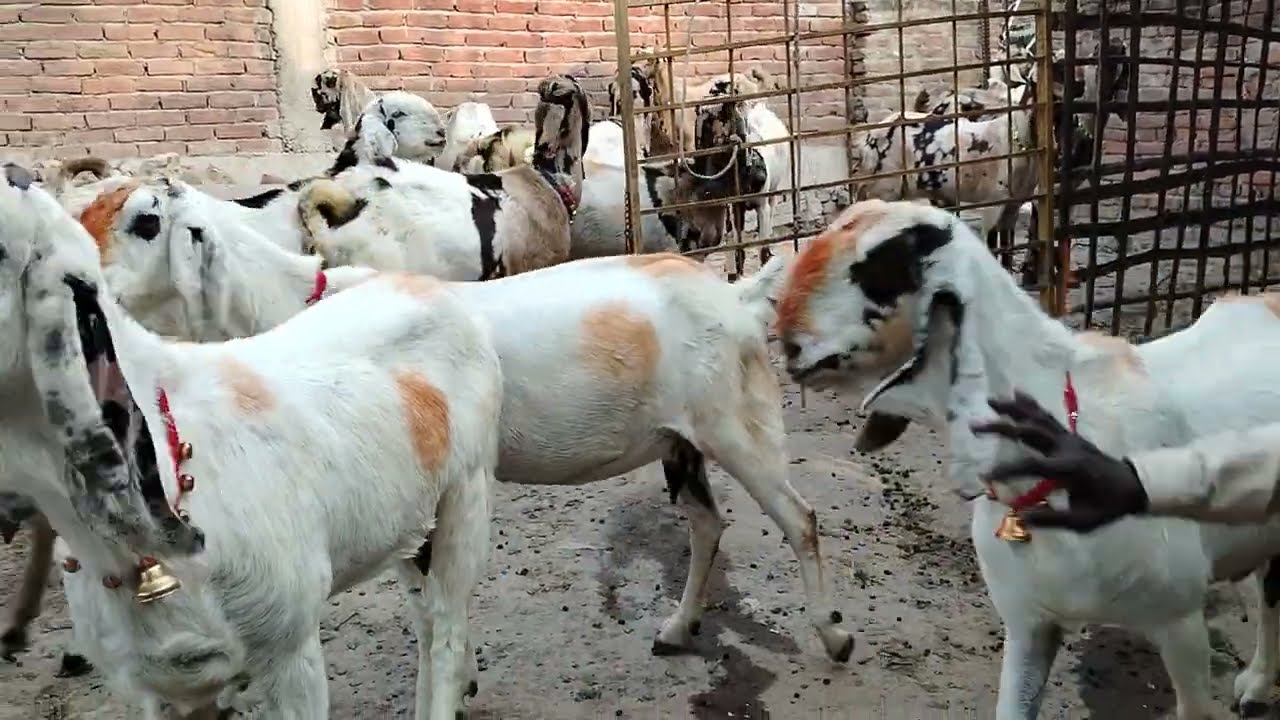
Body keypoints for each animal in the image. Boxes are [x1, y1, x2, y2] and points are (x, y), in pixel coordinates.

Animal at [4, 172, 503, 719]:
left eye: (147, 220)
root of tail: (421, 286)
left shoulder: (291, 650)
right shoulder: (161, 688)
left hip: (465, 501)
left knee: (446, 629)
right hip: (411, 521)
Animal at [81, 186, 858, 665]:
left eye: (145, 220)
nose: (86, 290)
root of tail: (737, 294)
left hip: (740, 424)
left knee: (802, 519)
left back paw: (833, 636)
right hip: (681, 443)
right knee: (708, 524)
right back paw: (677, 626)